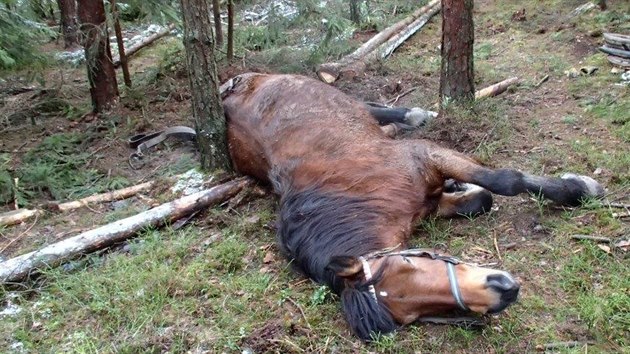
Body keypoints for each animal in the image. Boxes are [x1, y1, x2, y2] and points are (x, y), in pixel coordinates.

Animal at [220, 72, 604, 340]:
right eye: (423, 314)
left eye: (407, 262)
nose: (505, 291)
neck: (352, 198)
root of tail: (230, 90)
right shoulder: (427, 204)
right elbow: (481, 199)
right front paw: (462, 187)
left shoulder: (425, 154)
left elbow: (504, 181)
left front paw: (579, 189)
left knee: (363, 105)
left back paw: (415, 114)